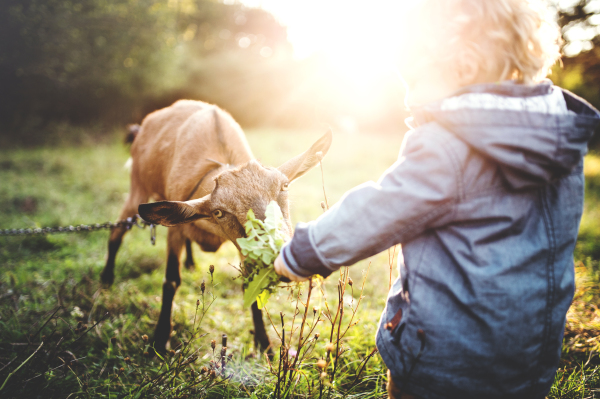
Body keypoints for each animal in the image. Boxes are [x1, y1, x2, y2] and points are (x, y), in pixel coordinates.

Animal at [100, 99, 330, 354]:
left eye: (285, 186)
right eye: (219, 212)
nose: (279, 254)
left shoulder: (243, 248)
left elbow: (250, 286)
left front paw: (265, 346)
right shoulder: (175, 229)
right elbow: (171, 281)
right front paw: (160, 341)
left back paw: (190, 262)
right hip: (137, 187)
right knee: (116, 232)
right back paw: (106, 279)